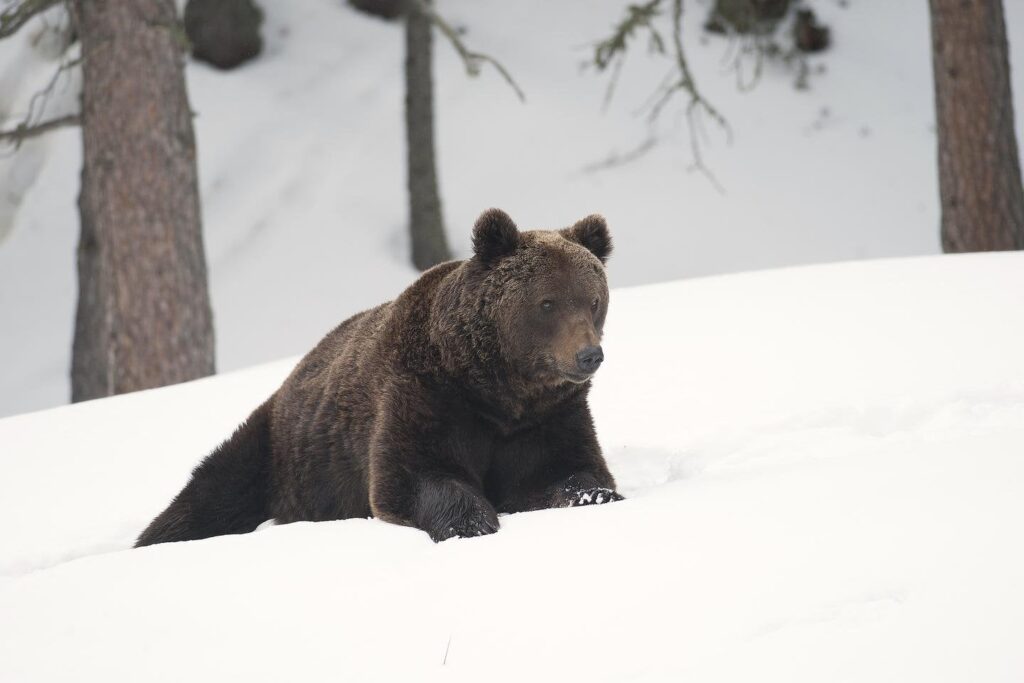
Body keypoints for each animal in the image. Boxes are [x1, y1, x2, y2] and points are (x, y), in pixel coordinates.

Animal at [136, 208, 623, 546]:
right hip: (279, 446)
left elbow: (568, 469)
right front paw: (472, 521)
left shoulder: (546, 418)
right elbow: (414, 475)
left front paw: (599, 496)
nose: (588, 355)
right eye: (547, 303)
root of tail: (293, 375)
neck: (496, 389)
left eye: (593, 300)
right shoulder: (426, 395)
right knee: (214, 490)